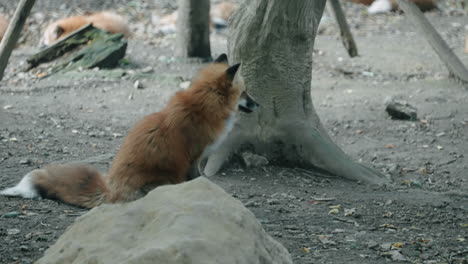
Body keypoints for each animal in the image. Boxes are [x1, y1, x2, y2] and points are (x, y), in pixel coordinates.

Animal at [0, 53, 258, 208]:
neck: (202, 107)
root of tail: (110, 190)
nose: (259, 105)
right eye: (245, 93)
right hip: (162, 179)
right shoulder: (192, 157)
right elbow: (198, 178)